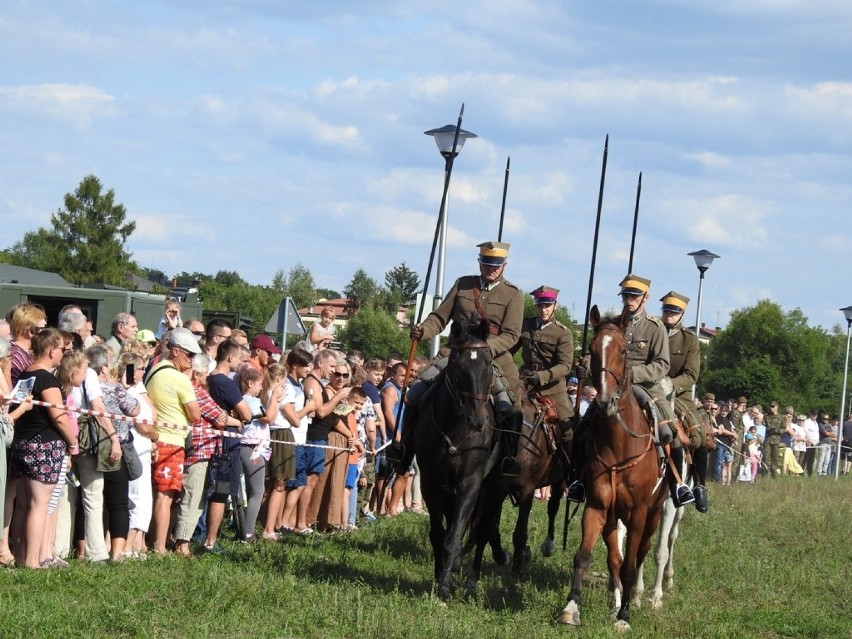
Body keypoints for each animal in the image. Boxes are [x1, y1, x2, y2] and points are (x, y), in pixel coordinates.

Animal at [414, 322, 500, 604]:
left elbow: (453, 535)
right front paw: (440, 575)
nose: (479, 420)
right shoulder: (430, 482)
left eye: (488, 363)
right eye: (456, 364)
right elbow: (438, 533)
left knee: (480, 528)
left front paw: (445, 586)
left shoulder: (470, 483)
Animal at [556, 308, 668, 632]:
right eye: (592, 351)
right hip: (613, 517)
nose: (605, 401)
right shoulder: (597, 505)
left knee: (641, 555)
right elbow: (584, 556)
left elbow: (631, 565)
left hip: (654, 516)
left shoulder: (640, 513)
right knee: (615, 559)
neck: (620, 447)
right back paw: (617, 600)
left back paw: (636, 599)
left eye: (623, 350)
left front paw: (625, 617)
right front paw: (570, 608)